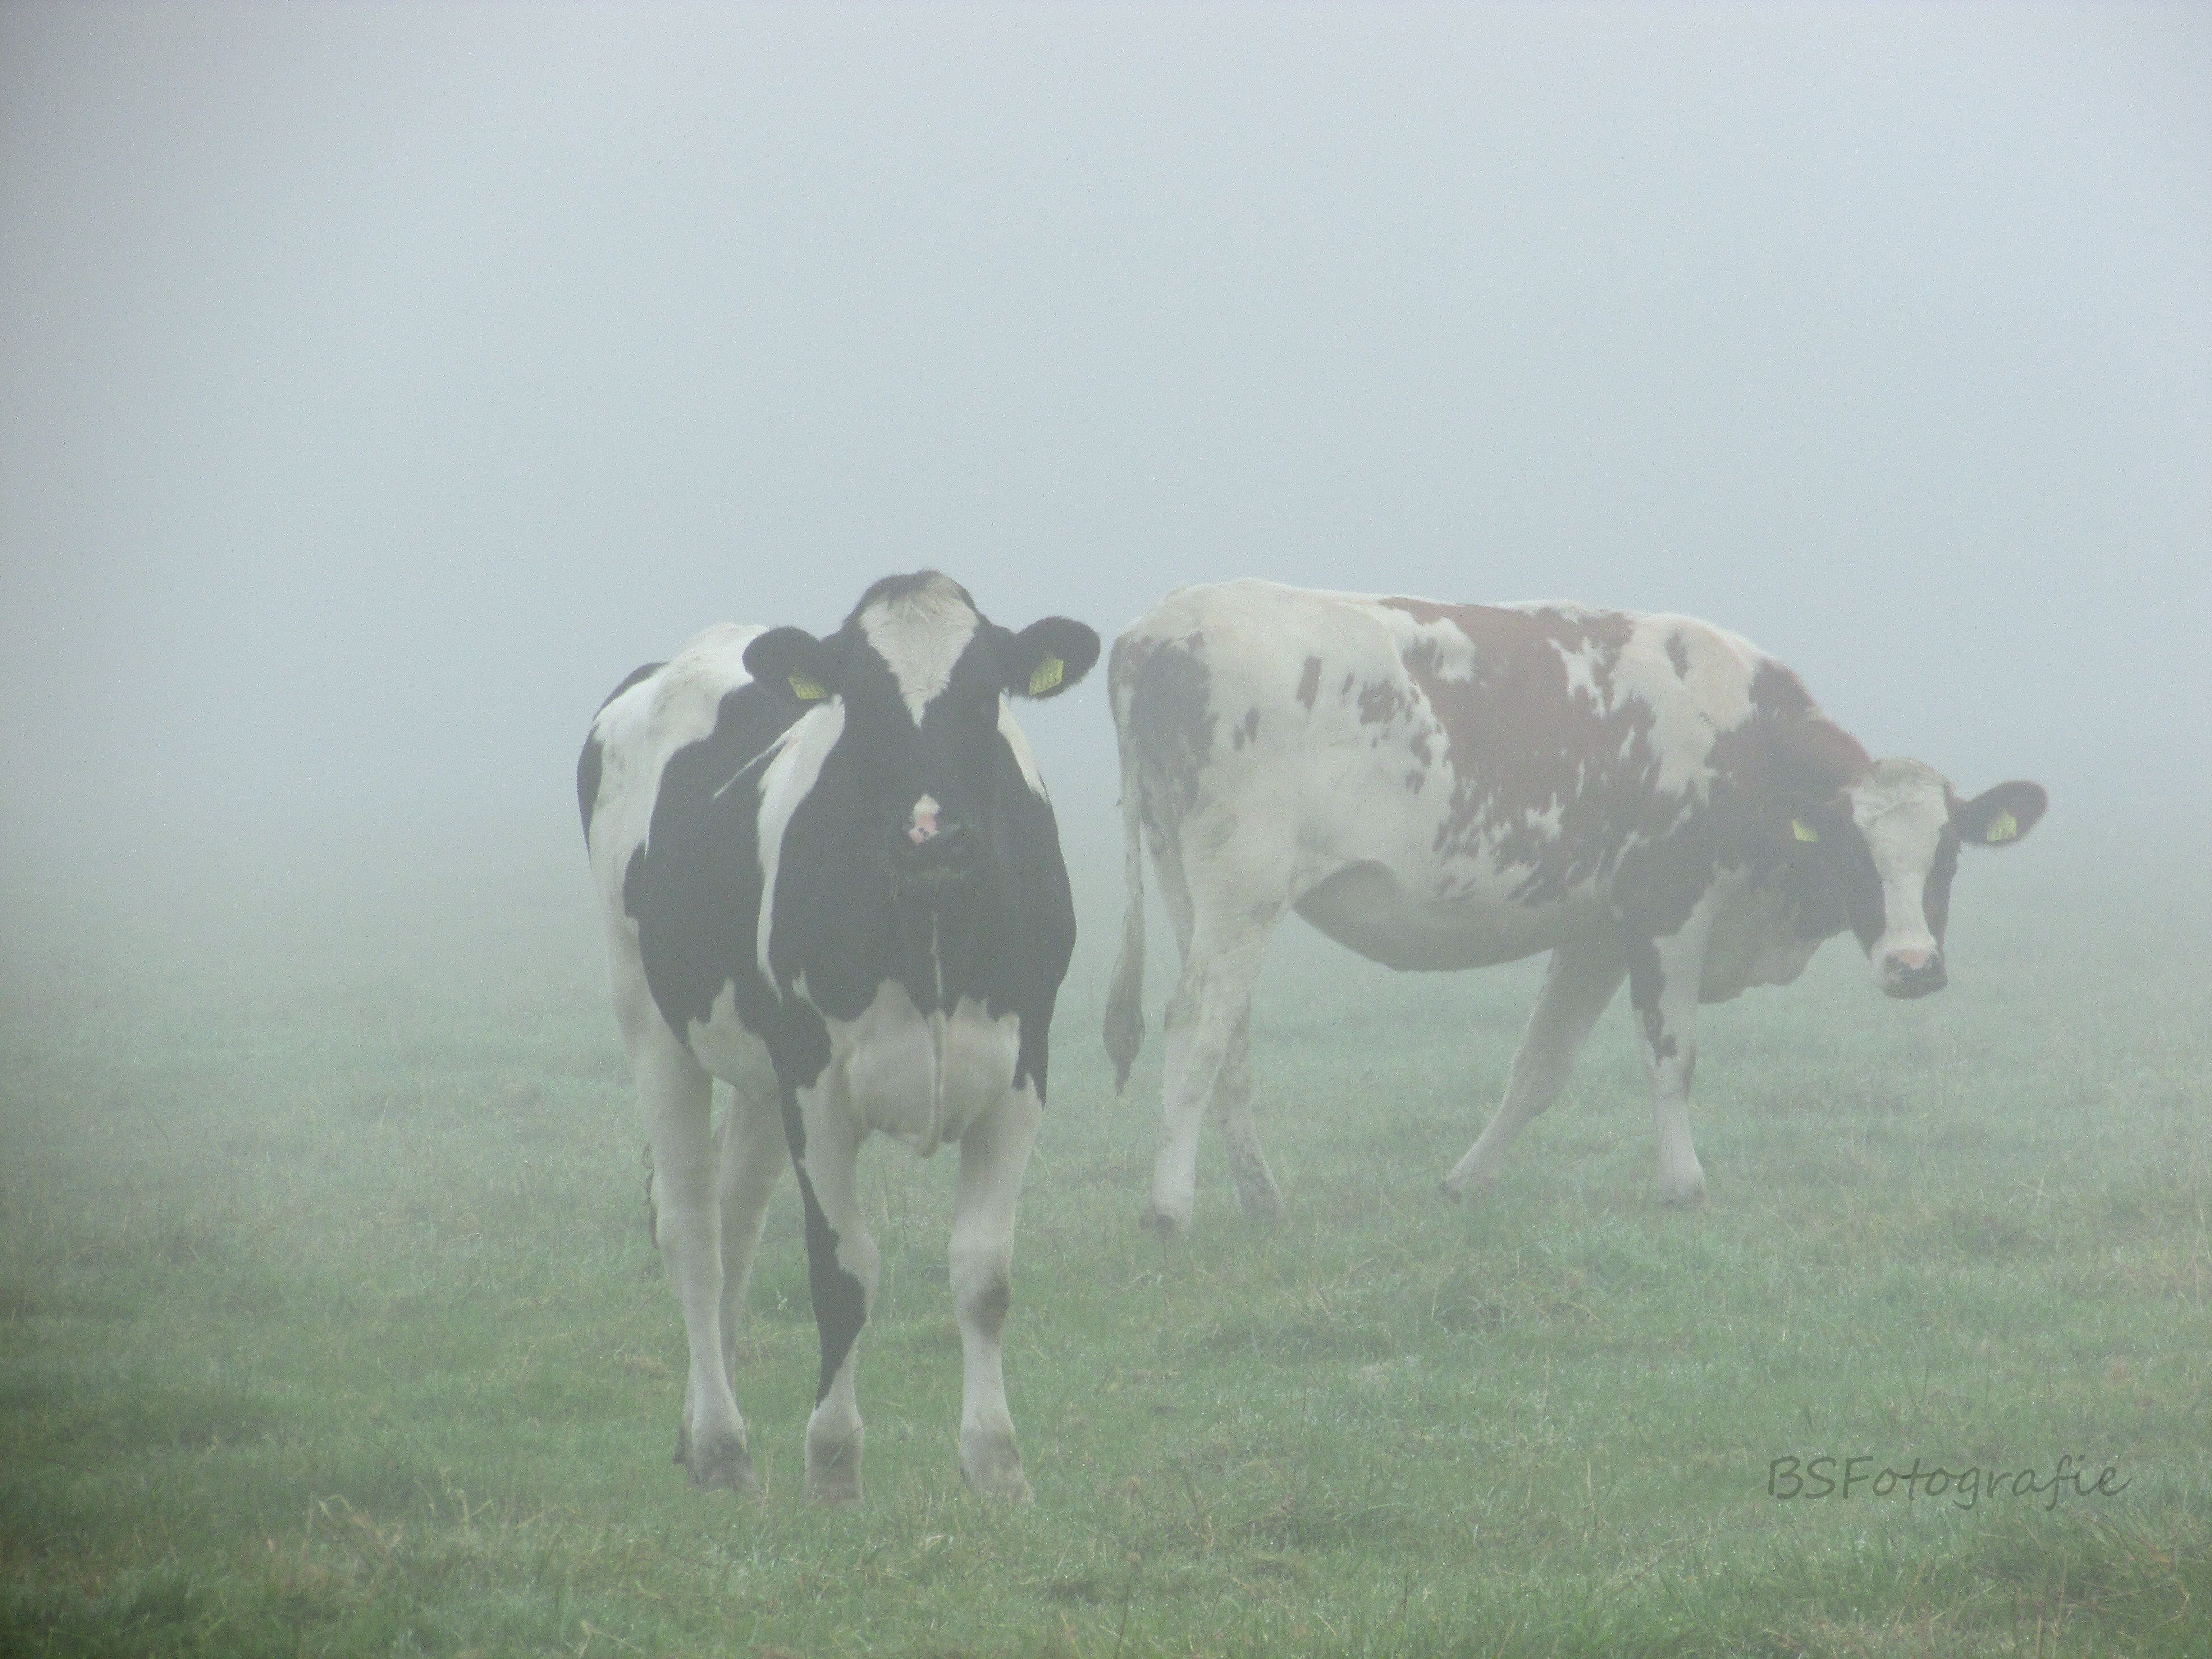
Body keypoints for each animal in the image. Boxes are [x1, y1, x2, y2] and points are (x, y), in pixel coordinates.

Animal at [578, 573, 1099, 1500]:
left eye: (984, 696)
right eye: (862, 705)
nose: (932, 833)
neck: (931, 934)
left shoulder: (1021, 1076)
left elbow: (984, 1276)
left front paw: (997, 1464)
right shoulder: (815, 1086)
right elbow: (842, 1273)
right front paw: (831, 1464)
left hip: (758, 1067)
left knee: (737, 1217)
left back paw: (701, 1430)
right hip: (651, 1018)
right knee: (691, 1229)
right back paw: (721, 1442)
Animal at [1102, 580, 2045, 1235]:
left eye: (1947, 857)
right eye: (1854, 857)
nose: (1913, 967)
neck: (1743, 737)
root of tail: (1161, 627)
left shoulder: (1595, 933)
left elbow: (1539, 1069)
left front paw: (1467, 1181)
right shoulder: (1668, 910)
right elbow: (1671, 1056)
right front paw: (1682, 1186)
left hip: (1192, 880)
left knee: (1229, 1037)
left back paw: (1261, 1198)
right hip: (1244, 881)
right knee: (1196, 1024)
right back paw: (1168, 1206)